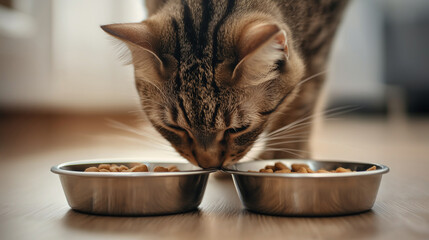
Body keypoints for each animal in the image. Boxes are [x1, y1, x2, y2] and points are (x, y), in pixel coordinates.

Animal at [101, 0, 348, 168]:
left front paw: (286, 157)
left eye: (238, 129)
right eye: (175, 128)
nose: (209, 165)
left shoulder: (318, 47)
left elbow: (299, 108)